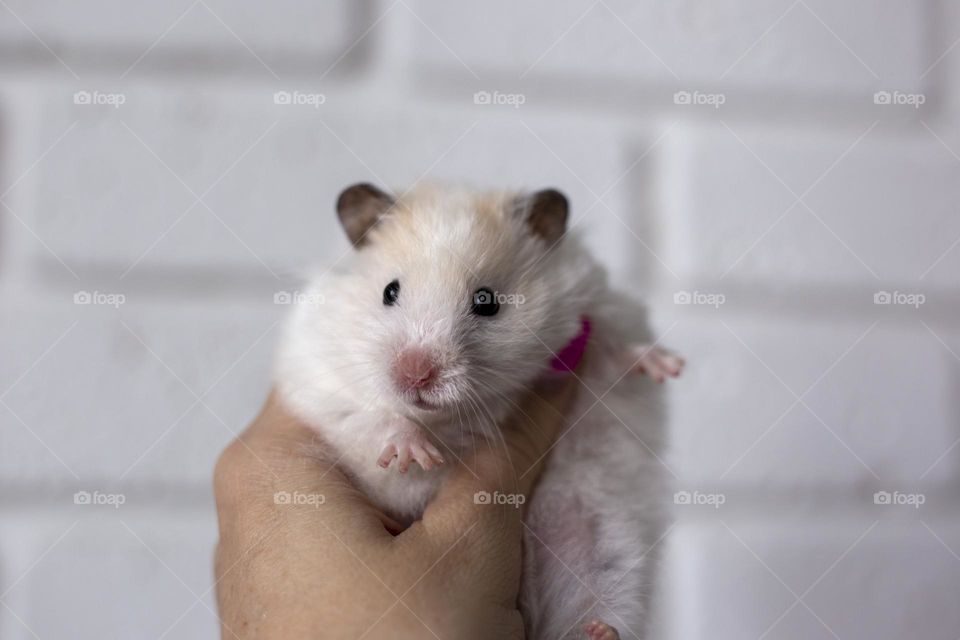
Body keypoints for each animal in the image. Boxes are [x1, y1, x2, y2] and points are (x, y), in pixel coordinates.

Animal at [274, 181, 688, 640]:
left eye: (487, 301)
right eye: (389, 292)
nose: (415, 375)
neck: (450, 417)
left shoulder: (593, 306)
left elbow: (614, 345)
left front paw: (666, 367)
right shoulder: (319, 379)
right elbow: (375, 416)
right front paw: (417, 455)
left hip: (606, 553)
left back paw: (597, 632)